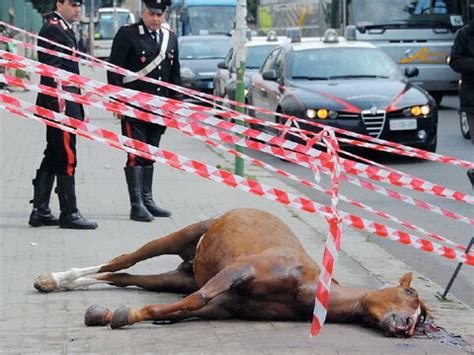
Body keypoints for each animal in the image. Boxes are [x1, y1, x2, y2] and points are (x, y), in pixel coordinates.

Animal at [32, 207, 426, 338]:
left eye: (421, 318)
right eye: (409, 293)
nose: (406, 326)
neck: (305, 288)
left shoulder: (225, 306)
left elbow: (185, 308)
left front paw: (121, 315)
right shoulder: (240, 270)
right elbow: (199, 298)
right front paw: (120, 316)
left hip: (179, 277)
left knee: (123, 278)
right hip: (181, 235)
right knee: (122, 261)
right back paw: (55, 277)